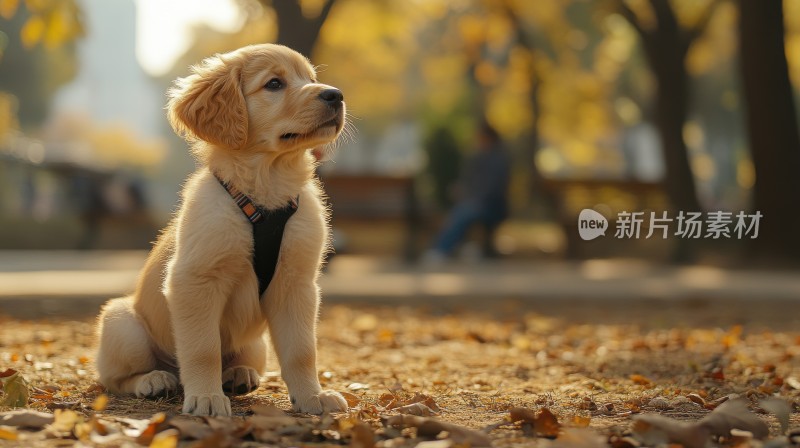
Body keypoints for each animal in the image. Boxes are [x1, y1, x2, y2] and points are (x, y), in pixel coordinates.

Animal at [93, 43, 346, 416]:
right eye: (274, 84)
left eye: (311, 79)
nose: (336, 95)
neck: (267, 187)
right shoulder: (195, 280)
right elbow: (203, 349)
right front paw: (207, 397)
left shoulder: (297, 284)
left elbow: (302, 351)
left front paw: (312, 396)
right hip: (122, 325)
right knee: (115, 378)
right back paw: (154, 379)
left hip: (256, 345)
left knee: (241, 359)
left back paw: (239, 374)